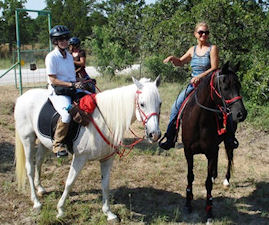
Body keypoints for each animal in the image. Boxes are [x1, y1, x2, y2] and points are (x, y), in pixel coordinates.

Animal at [14, 76, 160, 221]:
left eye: (160, 103)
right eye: (142, 104)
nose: (155, 134)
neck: (104, 120)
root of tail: (22, 97)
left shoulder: (107, 159)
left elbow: (105, 185)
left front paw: (108, 212)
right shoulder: (80, 157)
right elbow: (70, 182)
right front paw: (60, 210)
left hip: (43, 142)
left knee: (39, 162)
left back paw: (40, 188)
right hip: (28, 139)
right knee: (30, 168)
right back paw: (36, 202)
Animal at [180, 62, 247, 223]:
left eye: (239, 85)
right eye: (225, 87)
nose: (241, 113)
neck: (199, 120)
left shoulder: (210, 152)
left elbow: (208, 183)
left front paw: (209, 212)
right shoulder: (188, 152)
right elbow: (190, 176)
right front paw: (188, 203)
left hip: (228, 142)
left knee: (229, 158)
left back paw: (226, 180)